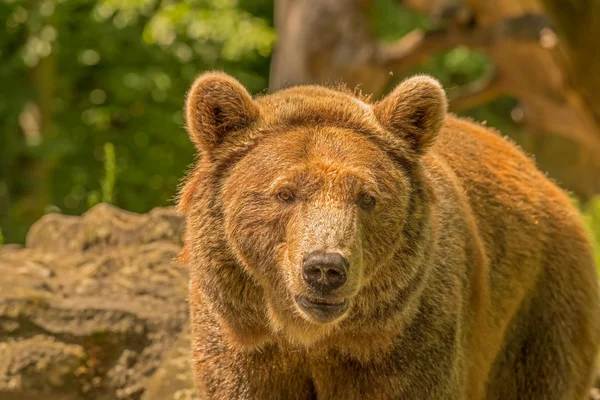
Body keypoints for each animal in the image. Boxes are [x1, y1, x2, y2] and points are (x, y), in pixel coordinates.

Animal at [176, 72, 600, 400]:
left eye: (367, 197)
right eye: (284, 193)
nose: (325, 269)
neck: (313, 338)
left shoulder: (408, 344)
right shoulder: (244, 343)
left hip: (541, 309)